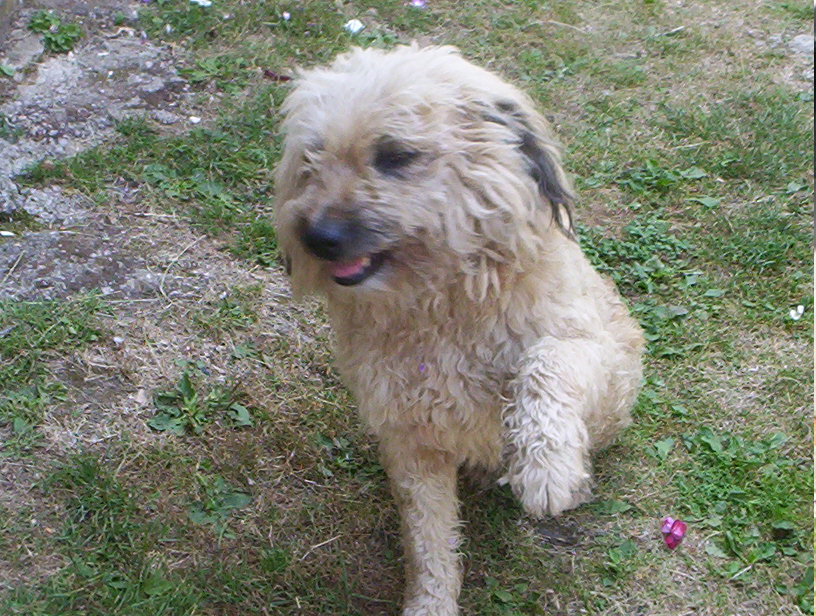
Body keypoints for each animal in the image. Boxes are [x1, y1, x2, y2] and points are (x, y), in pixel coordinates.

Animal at [274, 45, 644, 612]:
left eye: (396, 155)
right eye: (312, 158)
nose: (317, 237)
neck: (439, 303)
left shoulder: (592, 348)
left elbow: (548, 361)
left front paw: (548, 470)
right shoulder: (410, 440)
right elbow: (428, 539)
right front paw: (431, 601)